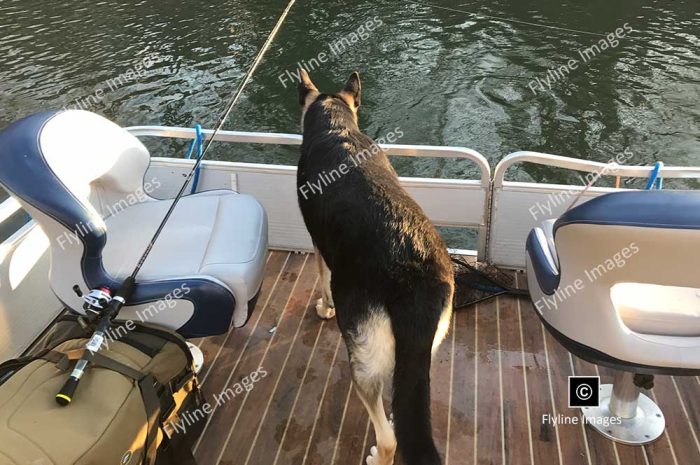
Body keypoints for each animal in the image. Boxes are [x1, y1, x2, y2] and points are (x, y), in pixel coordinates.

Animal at [296, 69, 454, 464]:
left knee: (388, 439)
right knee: (403, 407)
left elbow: (322, 278)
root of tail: (415, 274)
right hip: (419, 351)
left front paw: (324, 307)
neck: (335, 125)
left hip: (364, 362)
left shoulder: (318, 244)